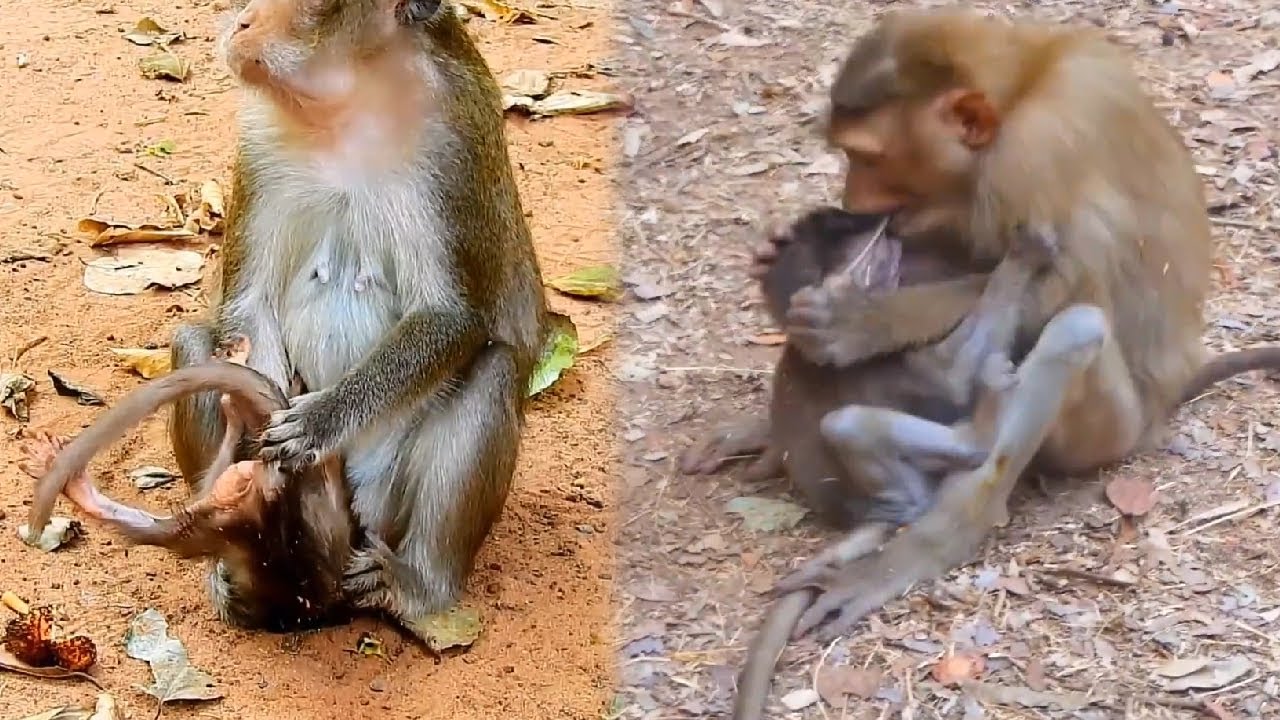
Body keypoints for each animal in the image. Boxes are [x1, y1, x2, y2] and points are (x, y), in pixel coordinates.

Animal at [766, 8, 1280, 643]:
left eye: (869, 157)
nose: (851, 200)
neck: (1022, 90)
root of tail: (1161, 411)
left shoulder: (1033, 155)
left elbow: (1062, 287)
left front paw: (861, 323)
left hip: (1111, 430)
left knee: (1073, 323)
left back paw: (942, 530)